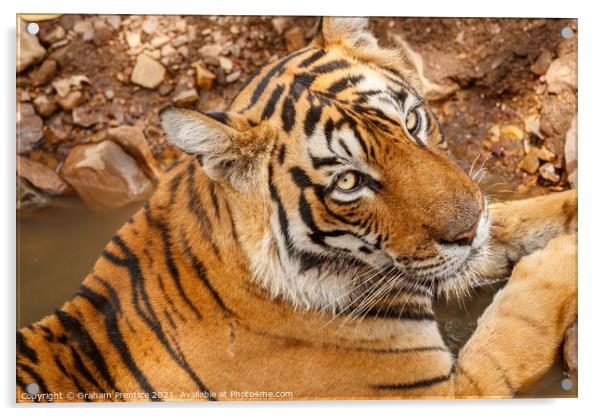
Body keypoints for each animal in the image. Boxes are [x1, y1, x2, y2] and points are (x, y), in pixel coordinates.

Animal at [16, 17, 576, 402]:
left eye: (413, 122)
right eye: (349, 181)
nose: (468, 228)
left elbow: (521, 219)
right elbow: (516, 324)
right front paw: (559, 259)